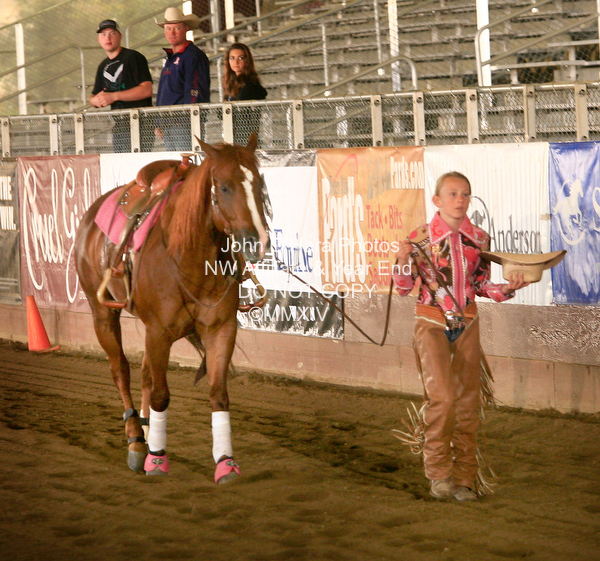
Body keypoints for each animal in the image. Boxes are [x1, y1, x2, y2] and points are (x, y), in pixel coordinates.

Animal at [74, 134, 270, 482]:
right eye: (224, 187)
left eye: (259, 184)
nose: (256, 241)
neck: (187, 254)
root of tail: (93, 213)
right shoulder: (159, 332)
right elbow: (161, 395)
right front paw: (156, 459)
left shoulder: (221, 329)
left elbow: (218, 393)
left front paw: (225, 462)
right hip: (103, 315)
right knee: (121, 370)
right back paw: (137, 441)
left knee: (144, 374)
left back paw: (146, 430)